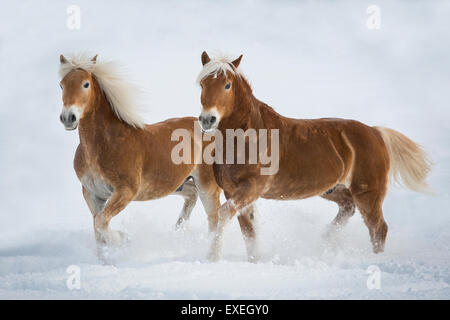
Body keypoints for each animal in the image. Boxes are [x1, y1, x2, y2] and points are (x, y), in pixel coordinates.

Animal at [58, 54, 221, 255]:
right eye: (61, 85)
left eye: (85, 84)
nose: (68, 118)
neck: (104, 144)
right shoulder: (92, 194)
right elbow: (98, 229)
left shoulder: (125, 191)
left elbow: (101, 222)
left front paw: (122, 239)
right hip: (179, 184)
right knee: (192, 194)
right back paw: (178, 231)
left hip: (208, 185)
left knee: (214, 219)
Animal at [199, 51, 430, 262]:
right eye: (202, 84)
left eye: (227, 85)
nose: (207, 119)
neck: (247, 137)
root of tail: (375, 132)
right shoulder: (233, 191)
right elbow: (249, 232)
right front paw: (254, 260)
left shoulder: (252, 187)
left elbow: (224, 214)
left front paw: (212, 256)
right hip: (332, 189)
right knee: (348, 207)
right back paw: (326, 238)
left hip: (368, 192)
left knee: (378, 228)